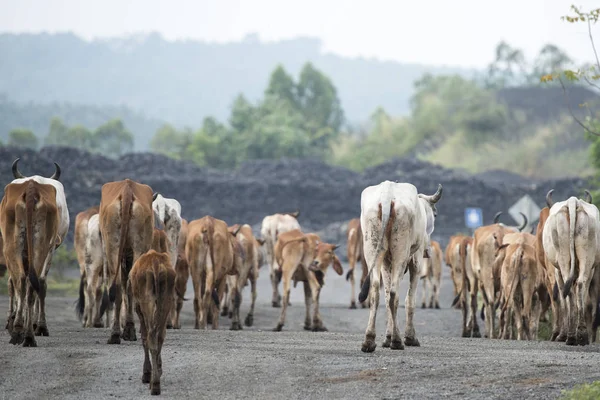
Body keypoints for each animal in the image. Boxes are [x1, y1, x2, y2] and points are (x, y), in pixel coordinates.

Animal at [99, 178, 155, 344]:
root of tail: (127, 189)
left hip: (115, 247)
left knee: (121, 285)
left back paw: (120, 332)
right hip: (129, 247)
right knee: (124, 285)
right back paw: (121, 332)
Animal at [129, 250, 175, 394]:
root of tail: (155, 263)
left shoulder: (138, 307)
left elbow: (144, 338)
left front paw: (146, 374)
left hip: (146, 301)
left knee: (151, 335)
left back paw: (154, 383)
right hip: (166, 300)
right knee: (160, 335)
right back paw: (157, 377)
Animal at [356, 182, 440, 354]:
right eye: (434, 215)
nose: (428, 251)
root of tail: (387, 193)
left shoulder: (386, 263)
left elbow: (386, 296)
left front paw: (387, 338)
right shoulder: (416, 261)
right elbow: (410, 300)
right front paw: (409, 337)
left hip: (372, 248)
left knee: (376, 291)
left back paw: (369, 340)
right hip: (400, 252)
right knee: (394, 293)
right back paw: (397, 340)